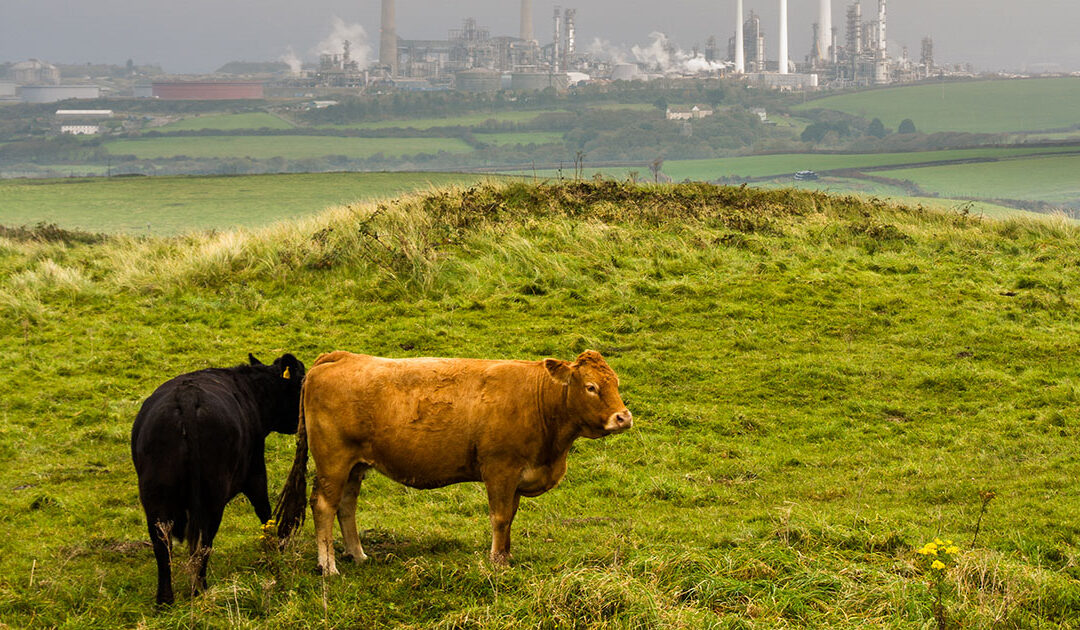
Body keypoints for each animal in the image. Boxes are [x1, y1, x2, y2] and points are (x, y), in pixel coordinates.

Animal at [133, 354, 308, 605]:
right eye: (302, 383)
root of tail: (187, 398)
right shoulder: (255, 470)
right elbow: (265, 512)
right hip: (213, 495)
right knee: (204, 542)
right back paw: (201, 590)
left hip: (155, 497)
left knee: (162, 544)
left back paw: (165, 601)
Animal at [274, 347, 630, 574]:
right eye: (591, 386)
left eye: (616, 383)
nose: (623, 418)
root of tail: (340, 357)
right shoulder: (500, 469)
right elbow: (500, 517)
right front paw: (497, 562)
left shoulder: (516, 477)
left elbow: (510, 519)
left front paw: (506, 556)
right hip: (333, 461)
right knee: (324, 506)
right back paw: (328, 566)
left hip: (354, 465)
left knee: (346, 506)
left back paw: (358, 555)